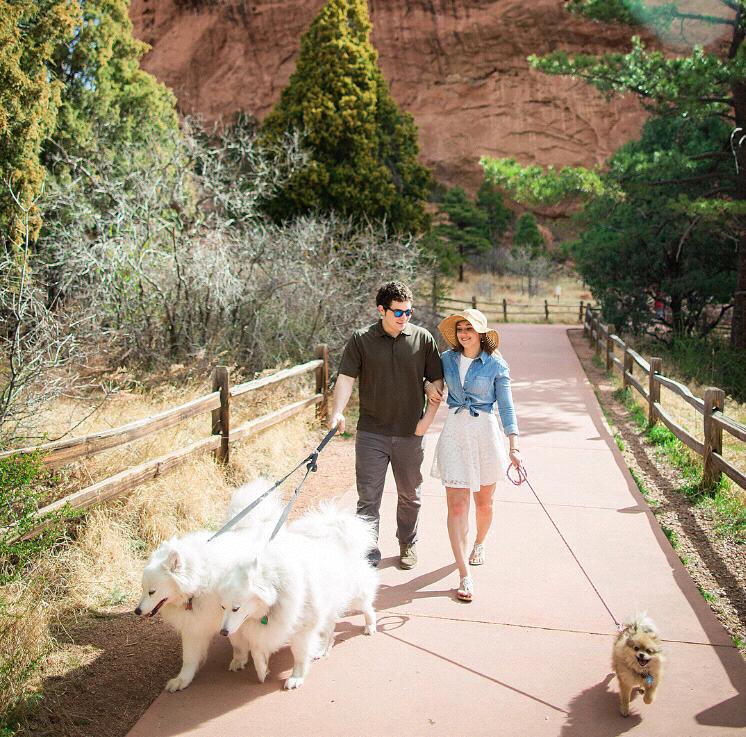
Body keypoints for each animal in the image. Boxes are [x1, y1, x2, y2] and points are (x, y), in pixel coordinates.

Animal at [135, 478, 284, 688]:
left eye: (152, 591)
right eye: (143, 589)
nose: (137, 611)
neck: (200, 582)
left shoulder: (234, 615)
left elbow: (237, 639)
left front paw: (241, 659)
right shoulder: (194, 625)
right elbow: (189, 658)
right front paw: (182, 680)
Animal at [215, 504, 378, 688]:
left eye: (236, 608)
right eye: (222, 607)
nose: (223, 632)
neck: (276, 587)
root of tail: (334, 537)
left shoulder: (303, 628)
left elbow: (299, 654)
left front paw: (296, 678)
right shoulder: (263, 628)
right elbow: (257, 650)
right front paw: (262, 670)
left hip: (356, 594)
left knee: (368, 607)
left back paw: (370, 626)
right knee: (329, 628)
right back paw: (322, 649)